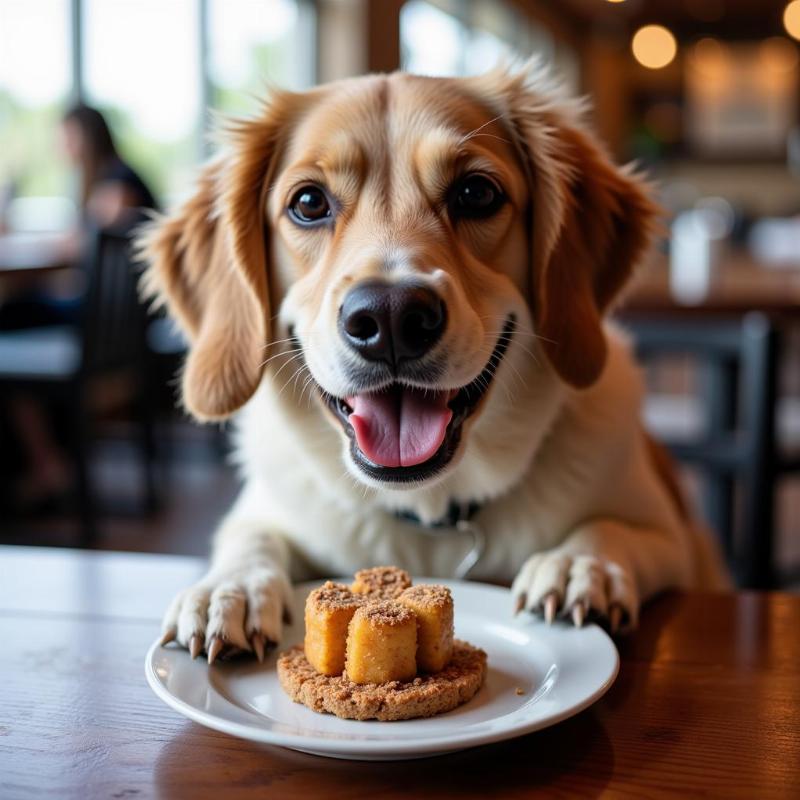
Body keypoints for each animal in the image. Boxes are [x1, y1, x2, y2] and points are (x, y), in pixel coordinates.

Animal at [141, 62, 728, 664]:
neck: (431, 509)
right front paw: (230, 587)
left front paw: (579, 565)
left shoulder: (681, 544)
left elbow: (611, 529)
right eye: (308, 203)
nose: (391, 317)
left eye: (476, 192)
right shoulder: (262, 512)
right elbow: (250, 536)